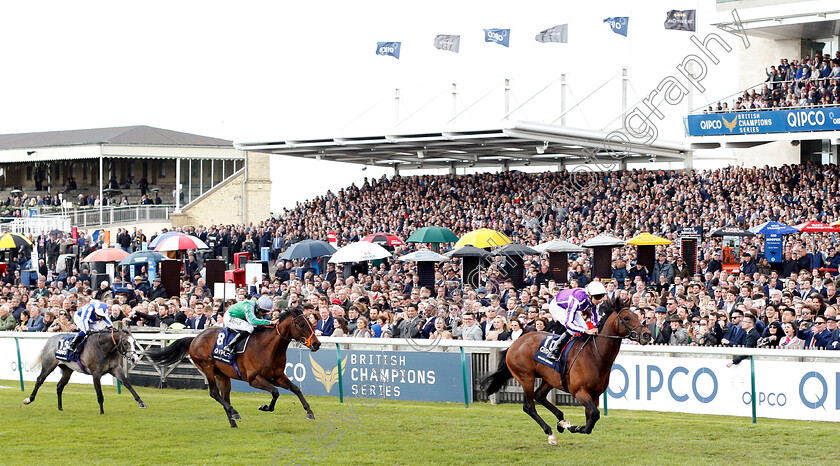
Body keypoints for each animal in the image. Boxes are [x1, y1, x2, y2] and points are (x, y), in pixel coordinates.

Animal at [148, 308, 322, 428]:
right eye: (301, 324)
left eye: (311, 323)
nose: (316, 344)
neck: (268, 347)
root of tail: (195, 338)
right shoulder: (253, 379)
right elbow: (275, 392)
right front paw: (265, 407)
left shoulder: (277, 376)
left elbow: (296, 389)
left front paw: (310, 412)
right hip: (207, 367)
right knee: (214, 393)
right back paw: (235, 413)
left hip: (223, 375)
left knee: (225, 397)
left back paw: (233, 421)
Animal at [482, 302, 652, 444]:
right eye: (626, 318)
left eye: (638, 316)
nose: (647, 334)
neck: (595, 354)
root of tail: (514, 344)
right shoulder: (579, 391)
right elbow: (594, 414)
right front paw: (574, 427)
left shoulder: (595, 395)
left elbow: (591, 419)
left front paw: (573, 427)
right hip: (526, 377)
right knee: (529, 406)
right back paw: (551, 433)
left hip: (549, 379)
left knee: (540, 396)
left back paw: (560, 421)